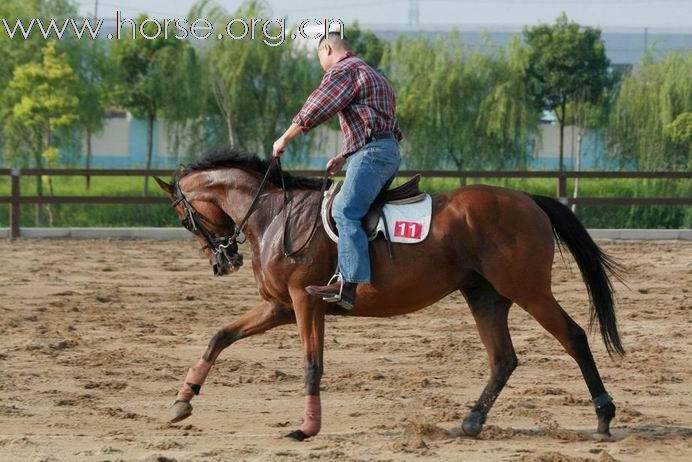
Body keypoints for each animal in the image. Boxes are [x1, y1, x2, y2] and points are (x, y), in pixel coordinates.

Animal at [154, 147, 624, 440]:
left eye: (183, 215)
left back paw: (603, 415)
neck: (275, 214)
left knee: (574, 337)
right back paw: (471, 421)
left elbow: (311, 365)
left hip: (529, 291)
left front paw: (307, 428)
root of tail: (527, 198)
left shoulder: (305, 302)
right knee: (503, 359)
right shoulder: (280, 307)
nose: (223, 261)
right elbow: (220, 337)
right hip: (485, 296)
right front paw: (181, 401)